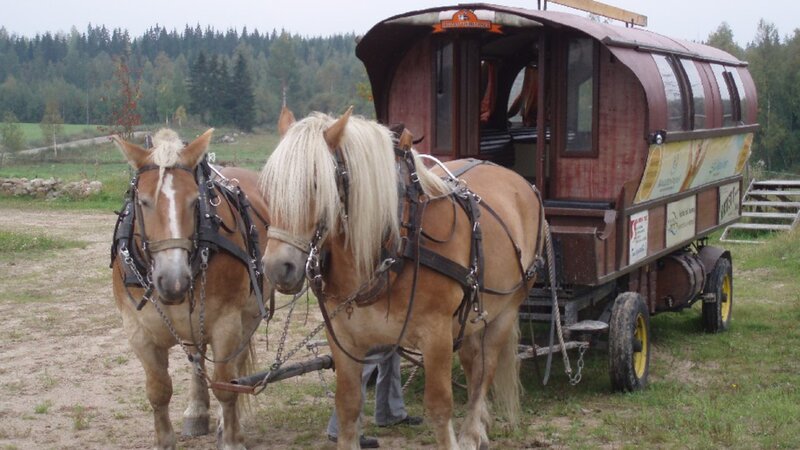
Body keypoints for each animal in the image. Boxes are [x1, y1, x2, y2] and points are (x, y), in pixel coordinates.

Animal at [111, 129, 271, 450]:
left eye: (195, 200)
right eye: (143, 201)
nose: (173, 280)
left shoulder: (226, 324)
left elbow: (226, 386)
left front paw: (231, 438)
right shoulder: (137, 330)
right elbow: (158, 391)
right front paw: (164, 440)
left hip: (247, 315)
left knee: (233, 370)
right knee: (197, 357)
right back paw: (196, 411)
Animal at [259, 107, 544, 449]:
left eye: (316, 184)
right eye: (269, 186)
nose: (278, 267)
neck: (391, 247)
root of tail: (516, 180)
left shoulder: (436, 335)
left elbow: (439, 406)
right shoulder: (343, 338)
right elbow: (348, 406)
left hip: (507, 309)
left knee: (485, 368)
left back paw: (472, 431)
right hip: (472, 317)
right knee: (473, 362)